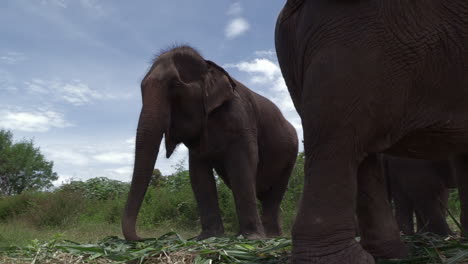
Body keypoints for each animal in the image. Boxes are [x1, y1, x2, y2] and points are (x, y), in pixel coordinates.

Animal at [123, 46, 300, 241]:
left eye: (175, 85)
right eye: (141, 89)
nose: (145, 238)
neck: (209, 67)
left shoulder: (241, 120)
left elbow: (242, 167)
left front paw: (250, 238)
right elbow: (198, 174)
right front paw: (207, 237)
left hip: (291, 156)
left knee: (274, 195)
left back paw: (271, 237)